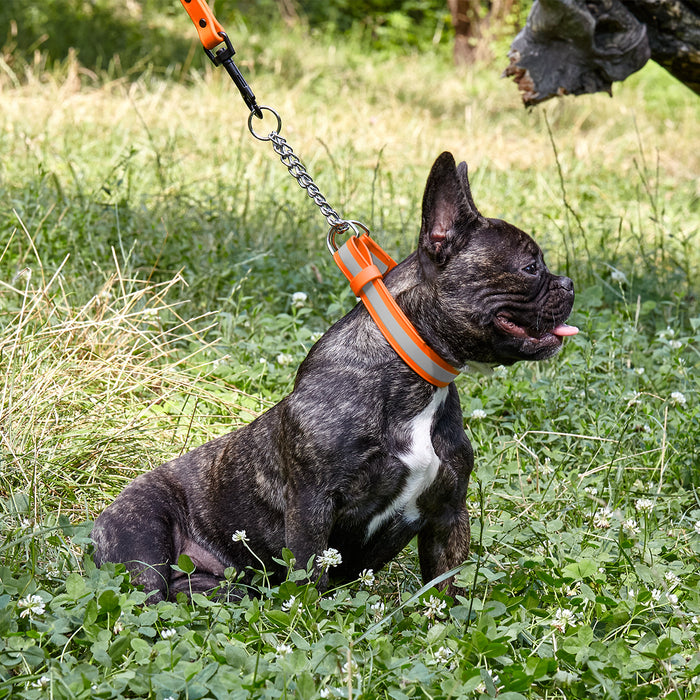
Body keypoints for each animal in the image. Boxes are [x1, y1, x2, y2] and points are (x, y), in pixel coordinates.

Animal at [91, 153, 576, 600]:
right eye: (530, 267)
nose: (568, 283)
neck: (414, 380)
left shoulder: (449, 512)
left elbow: (446, 587)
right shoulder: (312, 507)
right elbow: (310, 577)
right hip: (142, 537)